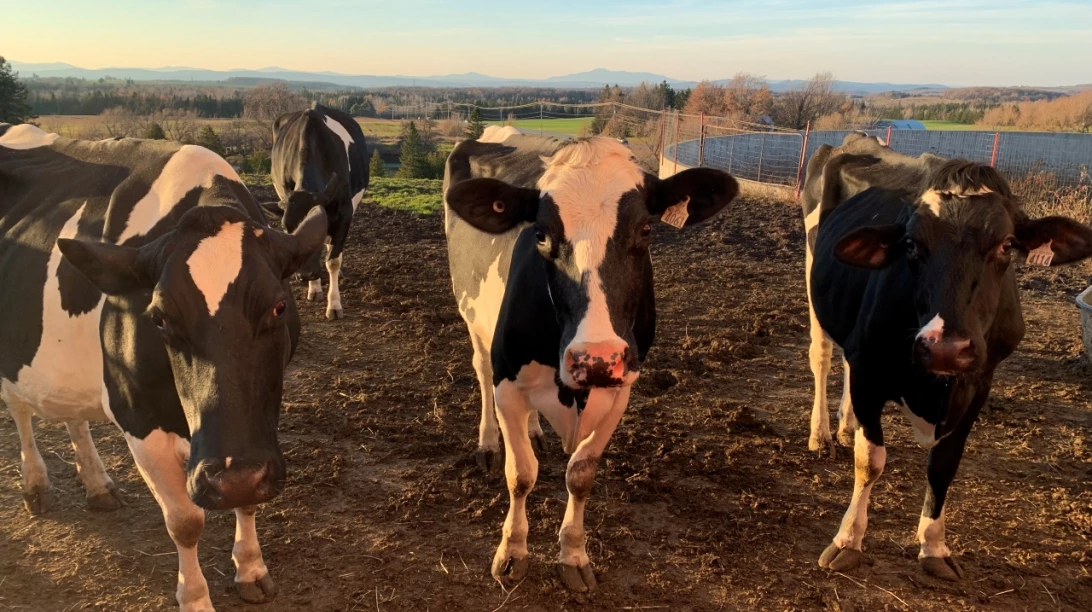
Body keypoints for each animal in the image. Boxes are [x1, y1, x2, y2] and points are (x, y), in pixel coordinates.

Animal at [0, 124, 326, 611]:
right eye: (158, 318)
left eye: (279, 307)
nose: (231, 477)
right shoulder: (139, 419)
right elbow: (185, 522)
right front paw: (195, 598)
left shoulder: (257, 429)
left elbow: (248, 501)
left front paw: (251, 568)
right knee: (19, 409)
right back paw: (35, 484)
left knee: (71, 413)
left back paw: (96, 483)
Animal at [265, 102, 370, 320]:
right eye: (286, 228)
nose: (305, 275)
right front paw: (315, 289)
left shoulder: (344, 214)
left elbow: (333, 261)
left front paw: (334, 305)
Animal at [444, 126, 739, 591]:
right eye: (540, 234)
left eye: (646, 229)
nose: (597, 358)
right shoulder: (508, 382)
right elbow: (520, 474)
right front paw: (512, 551)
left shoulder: (622, 388)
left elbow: (581, 474)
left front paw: (573, 555)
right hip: (471, 315)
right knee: (481, 369)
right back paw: (488, 443)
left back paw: (535, 430)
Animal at [808, 158, 1092, 581]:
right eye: (911, 245)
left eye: (1007, 245)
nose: (944, 347)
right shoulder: (869, 368)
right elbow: (869, 461)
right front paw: (847, 540)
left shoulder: (979, 383)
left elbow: (943, 465)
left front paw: (934, 546)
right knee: (823, 356)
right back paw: (822, 434)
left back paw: (846, 426)